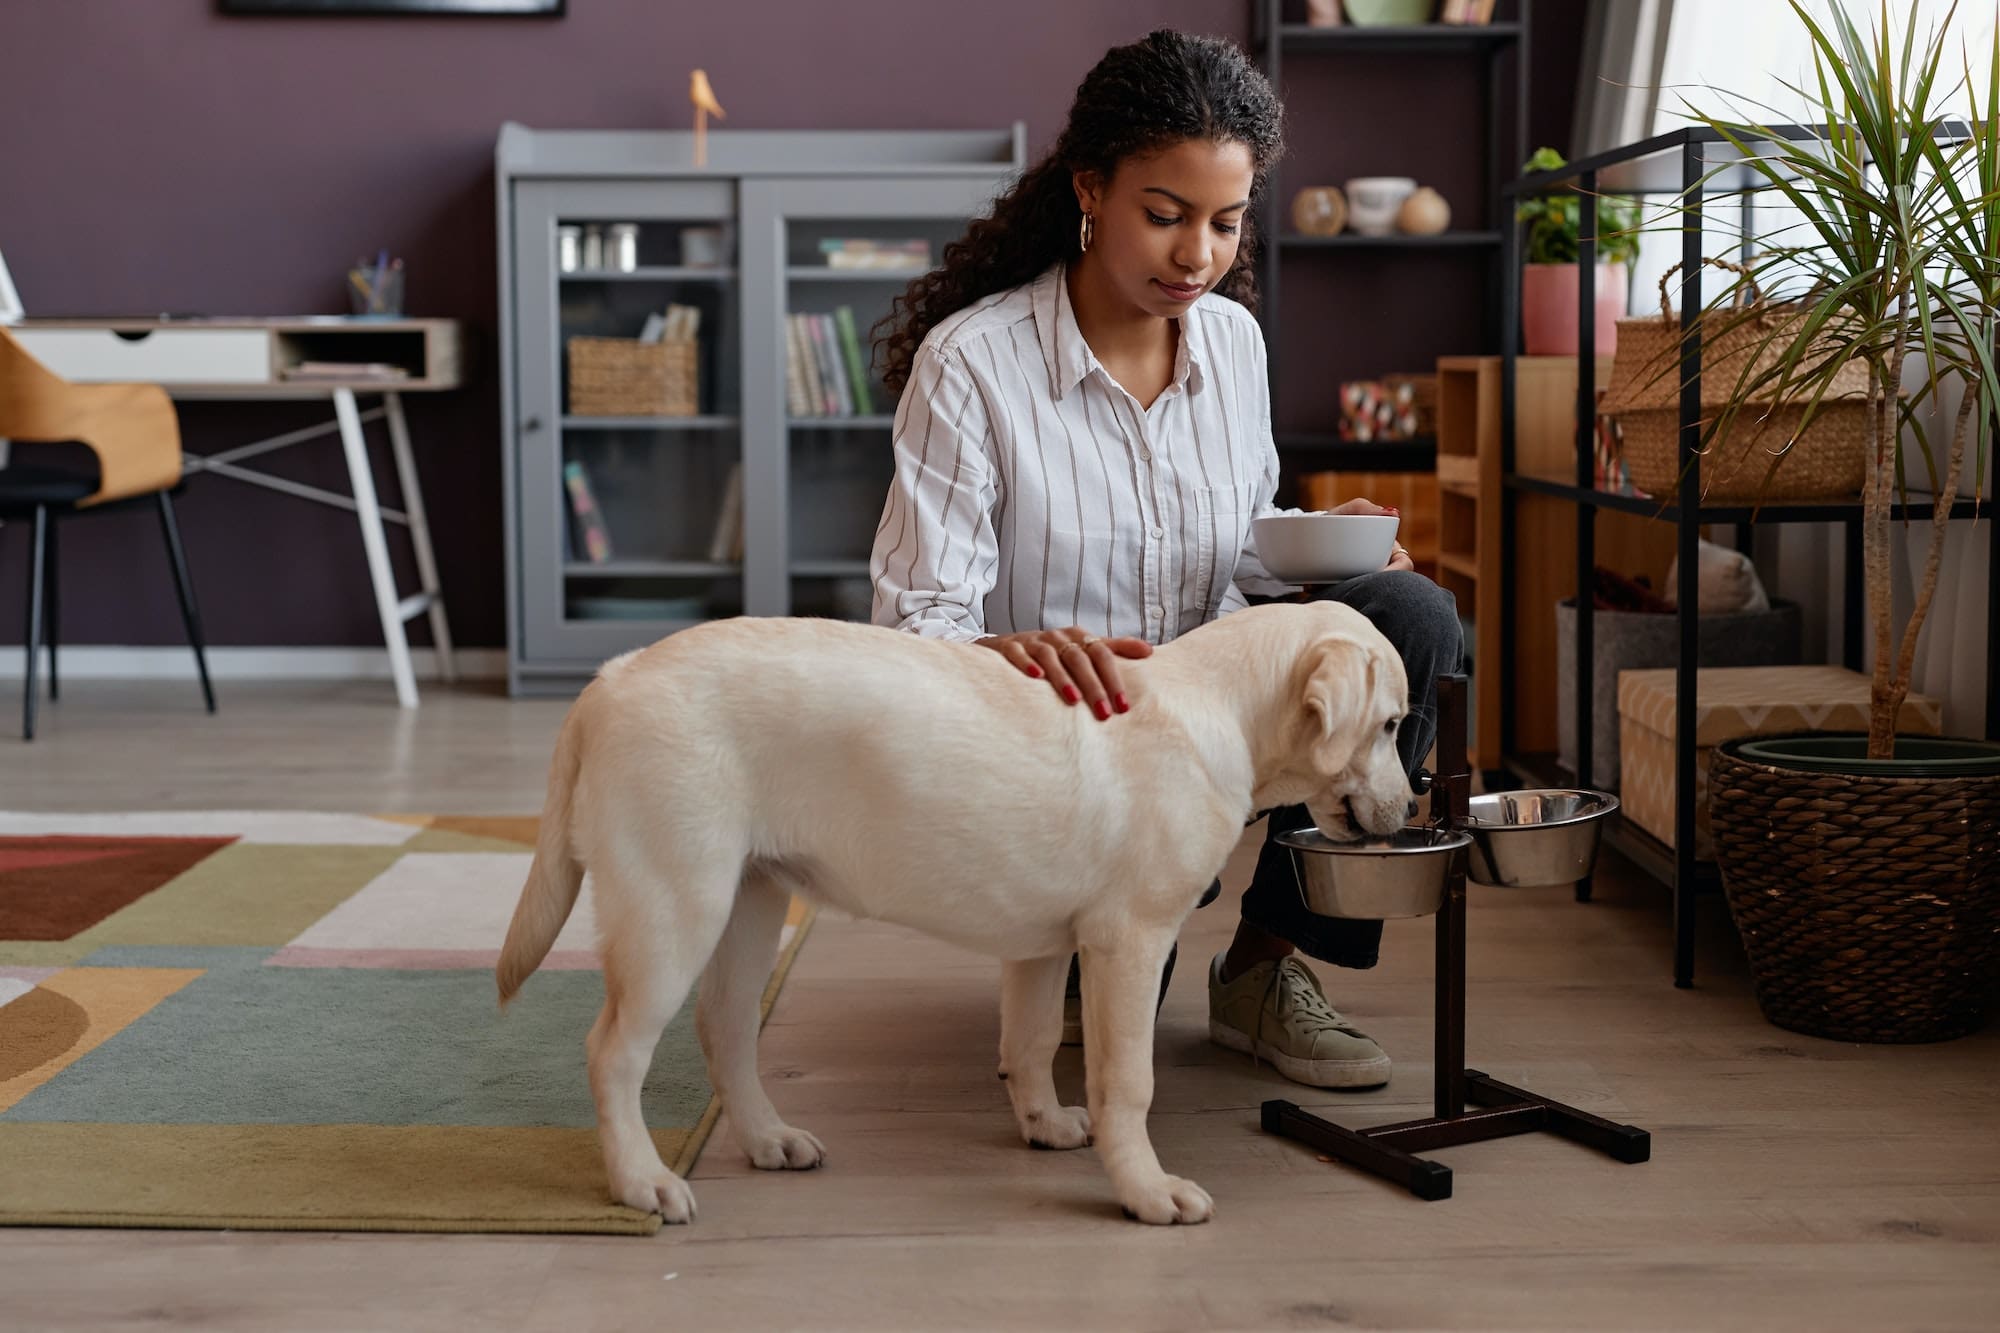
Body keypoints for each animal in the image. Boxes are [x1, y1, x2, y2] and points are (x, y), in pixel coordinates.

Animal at [494, 600, 1416, 1224]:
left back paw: (767, 1140)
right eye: (1391, 724)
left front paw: (1045, 1125)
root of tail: (613, 676)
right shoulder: (1131, 939)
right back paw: (641, 1181)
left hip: (748, 901)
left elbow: (1031, 1043)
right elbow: (1129, 1083)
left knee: (723, 1032)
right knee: (613, 1052)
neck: (1220, 707)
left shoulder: (1046, 946)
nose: (1411, 809)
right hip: (674, 905)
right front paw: (1147, 1190)